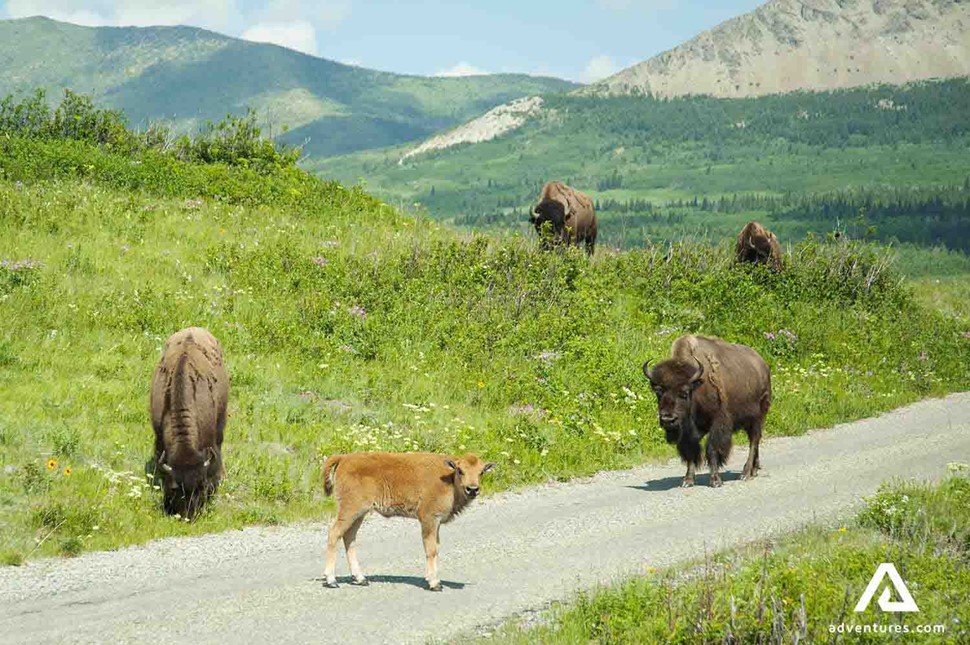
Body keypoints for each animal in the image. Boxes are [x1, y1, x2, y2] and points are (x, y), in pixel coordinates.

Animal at [322, 450, 496, 592]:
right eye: (460, 470)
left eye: (481, 472)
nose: (472, 489)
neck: (449, 479)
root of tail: (344, 458)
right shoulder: (429, 519)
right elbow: (431, 549)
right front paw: (434, 583)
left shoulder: (437, 523)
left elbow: (436, 548)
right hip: (350, 509)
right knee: (334, 533)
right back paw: (331, 580)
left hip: (360, 513)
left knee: (349, 537)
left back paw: (360, 578)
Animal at [644, 334, 772, 486]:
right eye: (658, 392)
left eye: (684, 393)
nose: (668, 419)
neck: (697, 387)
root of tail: (762, 364)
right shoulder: (688, 431)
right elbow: (690, 450)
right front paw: (687, 480)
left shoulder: (718, 423)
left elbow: (712, 449)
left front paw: (715, 480)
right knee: (756, 441)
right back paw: (754, 470)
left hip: (758, 417)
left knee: (753, 441)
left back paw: (745, 473)